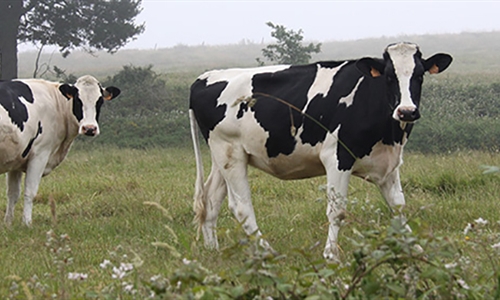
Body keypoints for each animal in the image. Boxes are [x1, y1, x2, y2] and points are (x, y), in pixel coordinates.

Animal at [0, 75, 120, 225]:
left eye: (99, 101)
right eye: (78, 100)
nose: (89, 128)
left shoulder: (17, 159)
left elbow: (13, 194)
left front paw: (8, 224)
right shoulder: (40, 154)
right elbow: (30, 192)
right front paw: (27, 223)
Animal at [188, 42, 454, 260]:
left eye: (419, 75)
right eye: (389, 76)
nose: (406, 111)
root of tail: (204, 77)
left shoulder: (388, 162)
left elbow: (398, 207)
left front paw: (416, 248)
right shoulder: (337, 158)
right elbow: (337, 211)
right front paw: (331, 255)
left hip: (224, 156)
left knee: (211, 199)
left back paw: (213, 250)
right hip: (229, 151)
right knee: (241, 206)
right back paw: (268, 252)